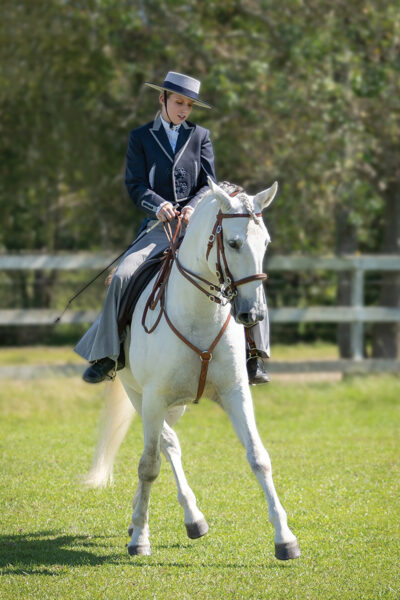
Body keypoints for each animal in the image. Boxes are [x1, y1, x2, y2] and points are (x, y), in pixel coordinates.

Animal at [84, 179, 300, 564]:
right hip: (139, 397)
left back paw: (181, 519)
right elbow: (149, 465)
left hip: (175, 404)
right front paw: (141, 539)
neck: (199, 312)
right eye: (234, 243)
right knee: (165, 447)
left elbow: (259, 458)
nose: (254, 314)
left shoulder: (235, 392)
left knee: (169, 442)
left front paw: (285, 539)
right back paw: (178, 519)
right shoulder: (154, 398)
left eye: (265, 243)